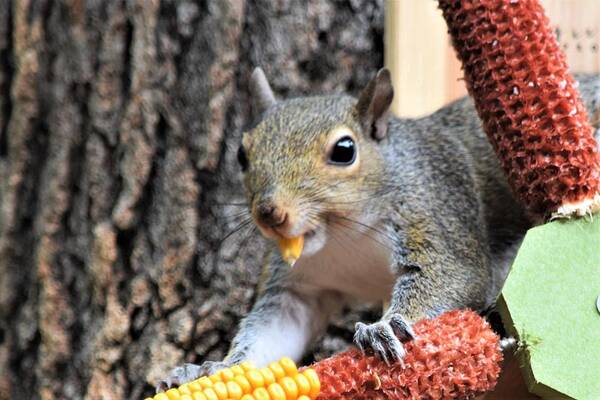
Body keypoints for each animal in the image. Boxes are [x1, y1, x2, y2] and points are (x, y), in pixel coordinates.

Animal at [156, 68, 600, 390]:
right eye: (241, 154)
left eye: (344, 150)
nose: (270, 214)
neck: (343, 236)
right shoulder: (298, 287)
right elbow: (274, 330)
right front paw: (212, 370)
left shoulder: (437, 216)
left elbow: (451, 276)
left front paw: (383, 329)